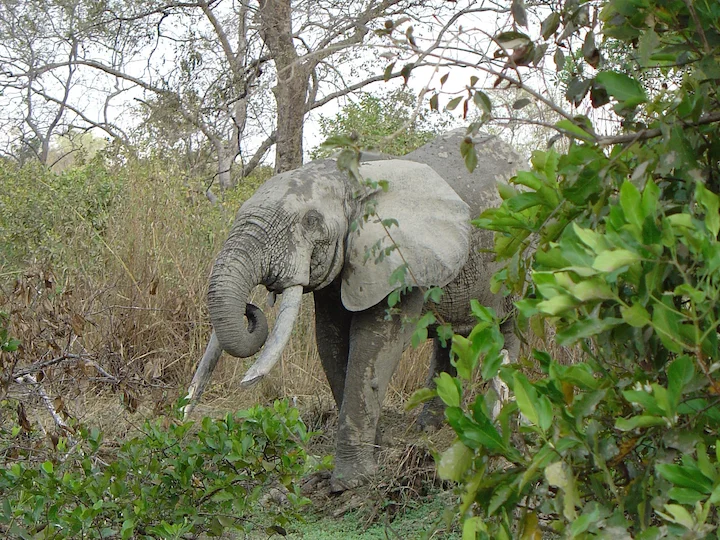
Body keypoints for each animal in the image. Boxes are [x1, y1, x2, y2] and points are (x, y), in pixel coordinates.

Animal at [183, 129, 521, 492]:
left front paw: (350, 482)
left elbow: (374, 344)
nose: (251, 307)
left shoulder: (396, 257)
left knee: (511, 330)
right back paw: (428, 427)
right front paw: (379, 447)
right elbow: (330, 341)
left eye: (311, 221)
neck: (352, 177)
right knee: (450, 340)